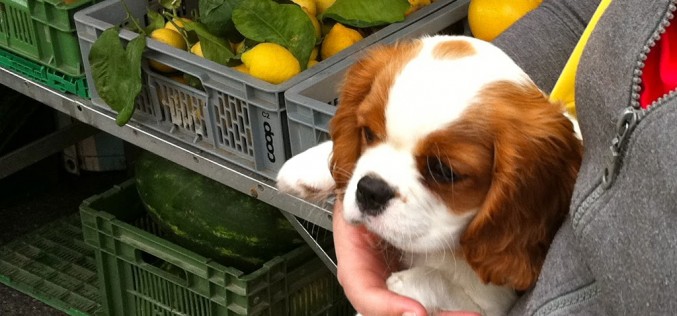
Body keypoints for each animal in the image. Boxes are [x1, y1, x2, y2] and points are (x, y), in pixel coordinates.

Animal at [274, 35, 580, 316]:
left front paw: (408, 283)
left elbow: (442, 285)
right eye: (368, 133)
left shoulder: (492, 305)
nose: (370, 190)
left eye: (443, 171)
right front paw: (308, 166)